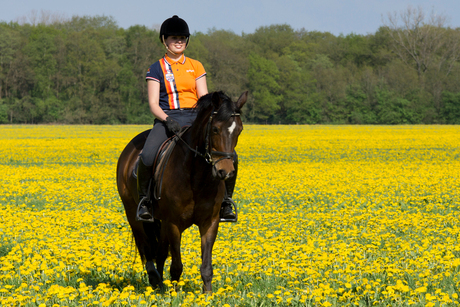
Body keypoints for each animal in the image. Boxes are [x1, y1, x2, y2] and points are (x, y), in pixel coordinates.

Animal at [117, 91, 248, 294]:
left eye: (239, 130)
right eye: (215, 129)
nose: (225, 172)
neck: (197, 176)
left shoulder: (209, 223)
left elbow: (206, 266)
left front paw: (207, 295)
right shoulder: (173, 223)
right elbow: (176, 265)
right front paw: (175, 294)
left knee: (161, 252)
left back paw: (159, 284)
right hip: (133, 214)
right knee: (146, 247)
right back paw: (154, 279)